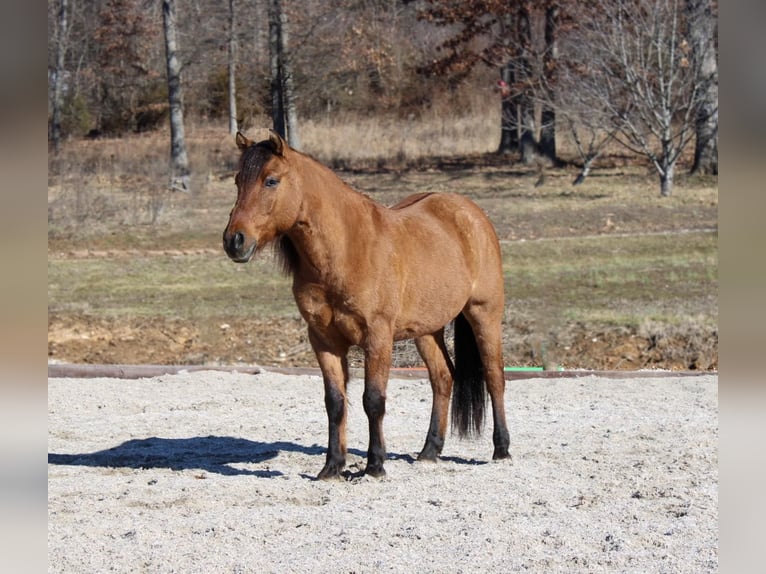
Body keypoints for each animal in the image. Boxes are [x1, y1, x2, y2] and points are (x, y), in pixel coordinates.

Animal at [220, 132, 510, 482]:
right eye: (238, 180)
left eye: (271, 180)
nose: (234, 240)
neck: (344, 252)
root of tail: (471, 213)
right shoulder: (324, 340)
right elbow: (335, 402)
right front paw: (332, 466)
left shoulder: (377, 337)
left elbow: (373, 400)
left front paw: (374, 465)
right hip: (427, 330)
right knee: (443, 377)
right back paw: (429, 452)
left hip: (484, 314)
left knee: (494, 376)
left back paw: (502, 449)